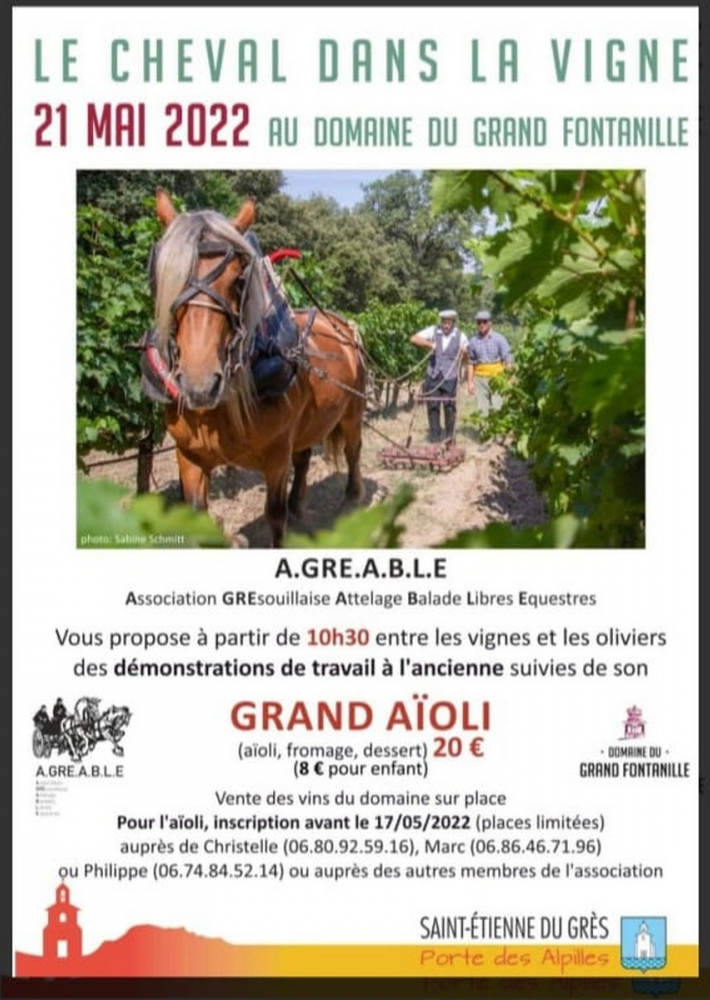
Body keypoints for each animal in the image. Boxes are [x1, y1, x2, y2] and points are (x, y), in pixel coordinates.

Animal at [145, 188, 368, 548]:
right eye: (163, 275)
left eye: (238, 280)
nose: (200, 385)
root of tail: (342, 325)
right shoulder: (189, 457)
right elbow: (196, 515)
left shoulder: (276, 456)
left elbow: (275, 516)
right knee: (304, 455)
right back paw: (299, 505)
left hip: (352, 410)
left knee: (352, 450)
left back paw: (350, 500)